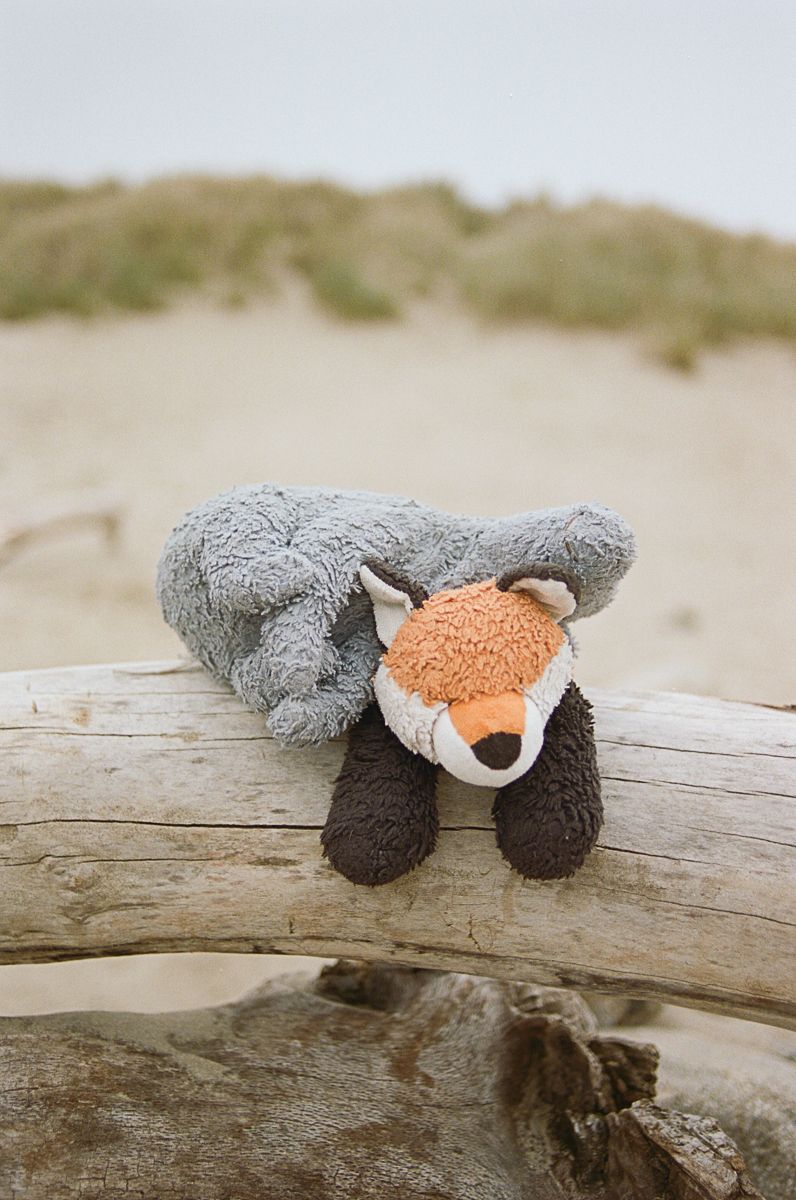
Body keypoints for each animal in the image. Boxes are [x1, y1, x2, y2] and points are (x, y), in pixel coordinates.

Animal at [321, 560, 602, 886]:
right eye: (440, 699)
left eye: (520, 681)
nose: (499, 747)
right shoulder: (384, 718)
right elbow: (380, 768)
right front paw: (367, 839)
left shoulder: (565, 710)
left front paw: (548, 834)